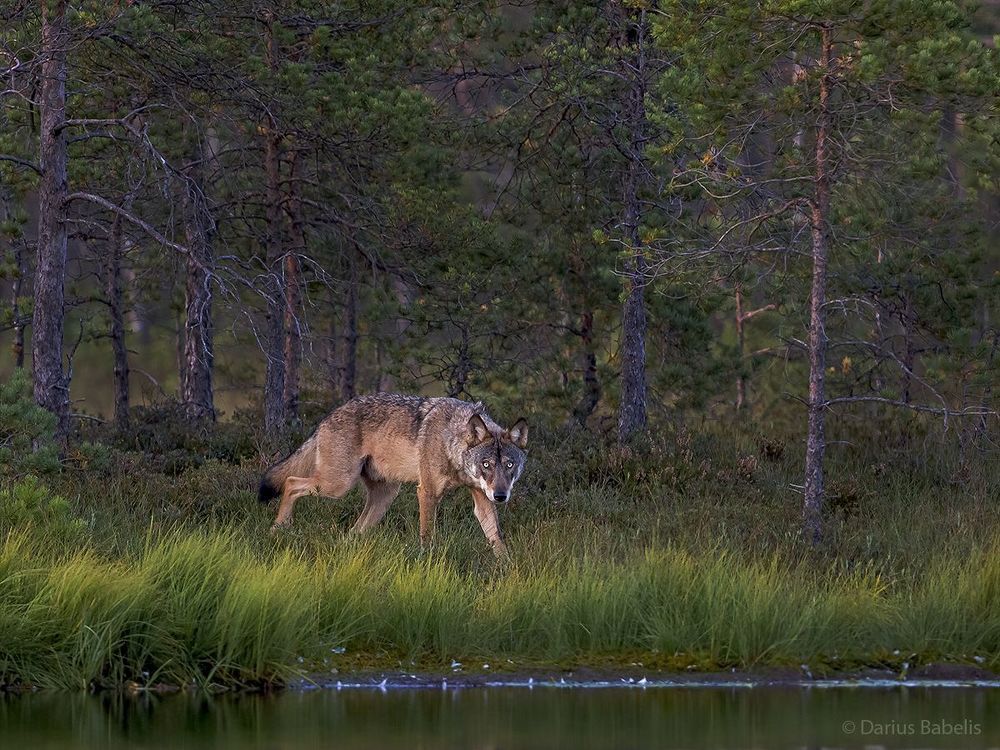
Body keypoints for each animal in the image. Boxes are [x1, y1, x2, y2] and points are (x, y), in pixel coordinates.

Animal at [258, 394, 528, 557]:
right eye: (486, 464)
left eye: (509, 465)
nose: (501, 496)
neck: (452, 442)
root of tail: (325, 419)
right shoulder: (427, 492)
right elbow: (427, 534)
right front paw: (427, 560)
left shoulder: (482, 499)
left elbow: (496, 537)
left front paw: (507, 569)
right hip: (337, 485)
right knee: (291, 483)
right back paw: (277, 530)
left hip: (384, 496)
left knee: (353, 531)